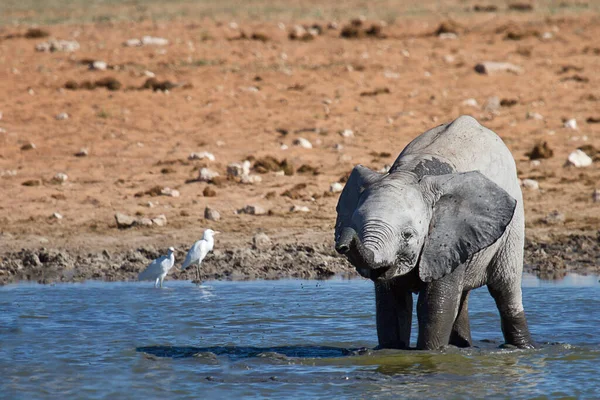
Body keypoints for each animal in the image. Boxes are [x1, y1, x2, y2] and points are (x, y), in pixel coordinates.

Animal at [336, 115, 536, 350]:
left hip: (514, 225)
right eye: (356, 226)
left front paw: (432, 352)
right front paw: (390, 350)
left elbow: (435, 304)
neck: (411, 173)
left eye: (408, 235)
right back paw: (464, 348)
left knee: (505, 291)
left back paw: (521, 348)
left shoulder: (448, 235)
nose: (343, 243)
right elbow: (392, 305)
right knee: (462, 298)